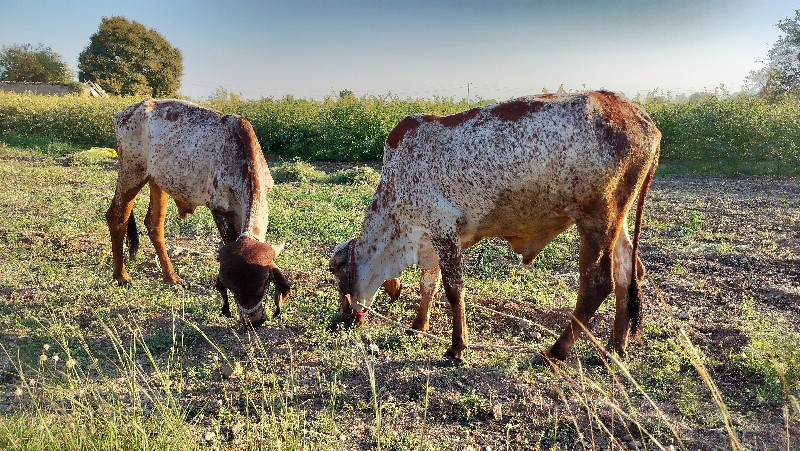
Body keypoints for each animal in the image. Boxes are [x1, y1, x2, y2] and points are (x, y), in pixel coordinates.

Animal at [107, 99, 290, 326]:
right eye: (231, 288)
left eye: (264, 284)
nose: (253, 321)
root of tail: (127, 112)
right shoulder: (219, 208)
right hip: (132, 173)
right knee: (117, 217)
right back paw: (121, 276)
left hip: (157, 180)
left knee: (153, 224)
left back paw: (172, 278)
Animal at [328, 91, 660, 364]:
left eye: (336, 271)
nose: (340, 318)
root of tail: (644, 120)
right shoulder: (430, 238)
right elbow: (428, 283)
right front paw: (418, 325)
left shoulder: (443, 228)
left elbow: (453, 289)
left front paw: (457, 347)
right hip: (617, 220)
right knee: (628, 273)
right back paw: (615, 348)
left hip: (596, 218)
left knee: (597, 284)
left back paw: (557, 350)